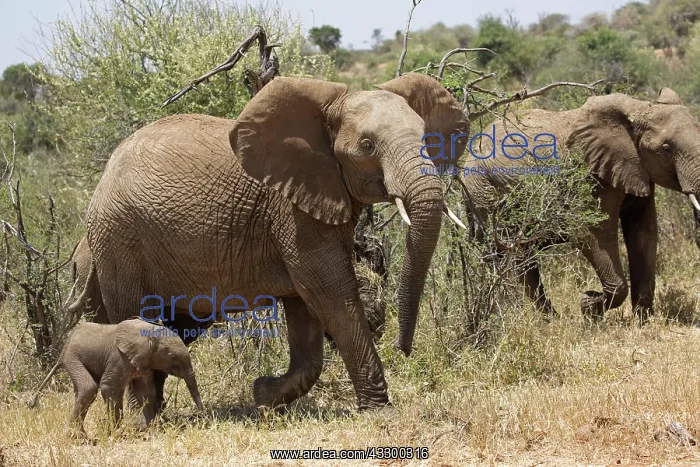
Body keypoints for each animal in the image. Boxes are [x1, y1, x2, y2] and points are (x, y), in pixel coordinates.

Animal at [33, 318, 204, 438]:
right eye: (173, 356)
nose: (201, 417)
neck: (149, 332)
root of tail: (64, 348)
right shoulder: (119, 358)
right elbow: (110, 386)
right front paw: (114, 432)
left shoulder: (144, 362)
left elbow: (146, 392)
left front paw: (147, 430)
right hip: (73, 358)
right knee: (89, 387)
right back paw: (77, 437)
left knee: (81, 390)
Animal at [74, 74, 469, 411]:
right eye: (367, 145)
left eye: (426, 138)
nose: (404, 349)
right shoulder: (291, 210)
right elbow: (329, 293)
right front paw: (378, 410)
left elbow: (305, 311)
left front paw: (263, 395)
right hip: (119, 239)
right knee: (135, 316)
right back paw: (143, 416)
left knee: (176, 325)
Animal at [460, 87, 700, 321]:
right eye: (666, 148)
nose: (588, 296)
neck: (639, 108)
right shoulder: (591, 174)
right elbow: (591, 233)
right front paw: (589, 305)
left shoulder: (637, 170)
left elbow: (644, 231)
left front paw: (642, 321)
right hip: (483, 191)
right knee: (512, 254)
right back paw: (538, 318)